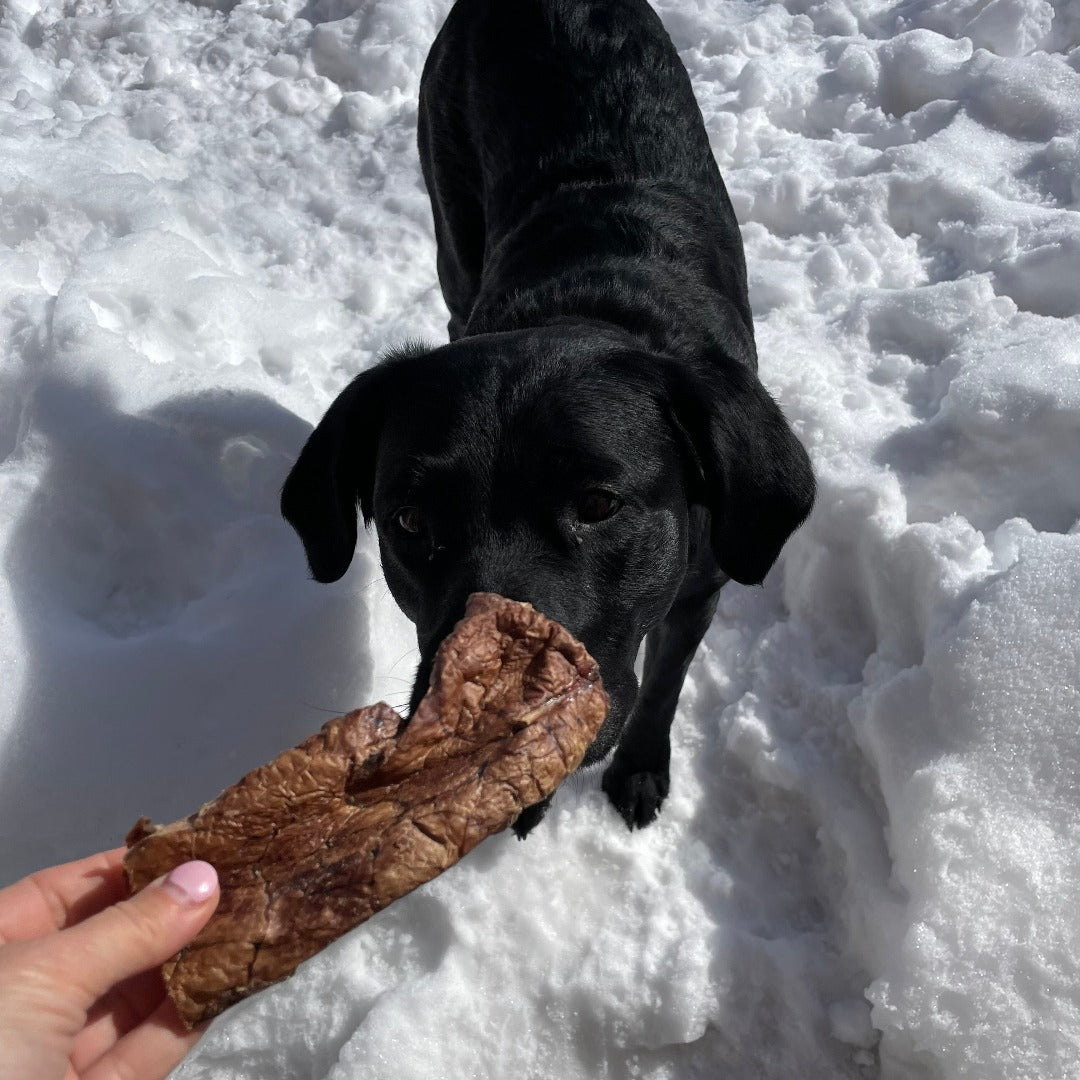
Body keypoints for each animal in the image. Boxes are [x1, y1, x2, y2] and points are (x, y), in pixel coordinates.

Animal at [282, 0, 812, 833]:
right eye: (409, 522)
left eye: (598, 504)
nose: (483, 722)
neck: (588, 304)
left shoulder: (701, 584)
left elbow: (664, 685)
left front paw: (639, 767)